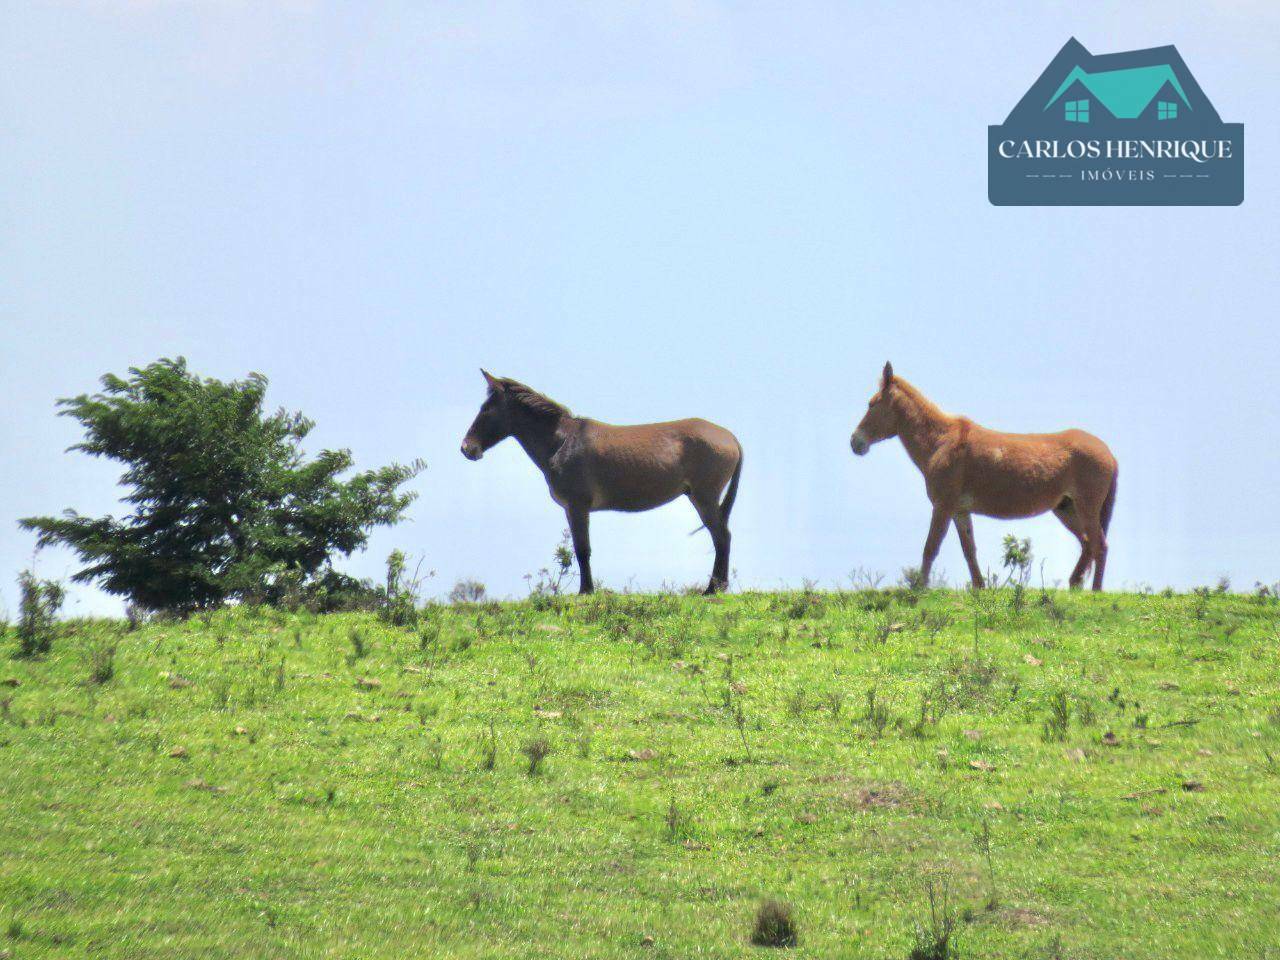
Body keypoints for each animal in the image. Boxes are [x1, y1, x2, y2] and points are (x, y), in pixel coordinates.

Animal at [460, 373, 742, 593]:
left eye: (486, 409)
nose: (466, 448)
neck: (562, 442)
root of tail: (730, 437)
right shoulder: (572, 509)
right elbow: (581, 549)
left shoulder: (577, 506)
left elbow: (582, 550)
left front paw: (586, 591)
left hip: (704, 497)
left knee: (722, 537)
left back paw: (713, 589)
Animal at [849, 366, 1121, 593]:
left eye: (872, 404)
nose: (855, 442)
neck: (941, 441)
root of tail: (1108, 453)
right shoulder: (959, 510)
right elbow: (969, 550)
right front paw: (980, 588)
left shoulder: (943, 506)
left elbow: (931, 546)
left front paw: (920, 588)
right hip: (1066, 508)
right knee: (1087, 544)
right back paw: (1075, 584)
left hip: (1085, 506)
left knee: (1099, 545)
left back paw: (1096, 591)